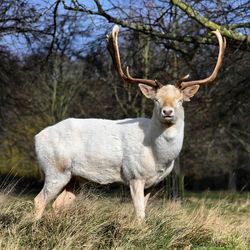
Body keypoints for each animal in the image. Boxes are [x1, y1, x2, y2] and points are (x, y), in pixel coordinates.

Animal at [33, 25, 227, 220]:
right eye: (156, 100)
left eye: (180, 101)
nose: (167, 111)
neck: (158, 156)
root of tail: (36, 138)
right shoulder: (134, 175)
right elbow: (140, 214)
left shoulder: (152, 183)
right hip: (55, 168)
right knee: (39, 200)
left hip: (74, 177)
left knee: (57, 204)